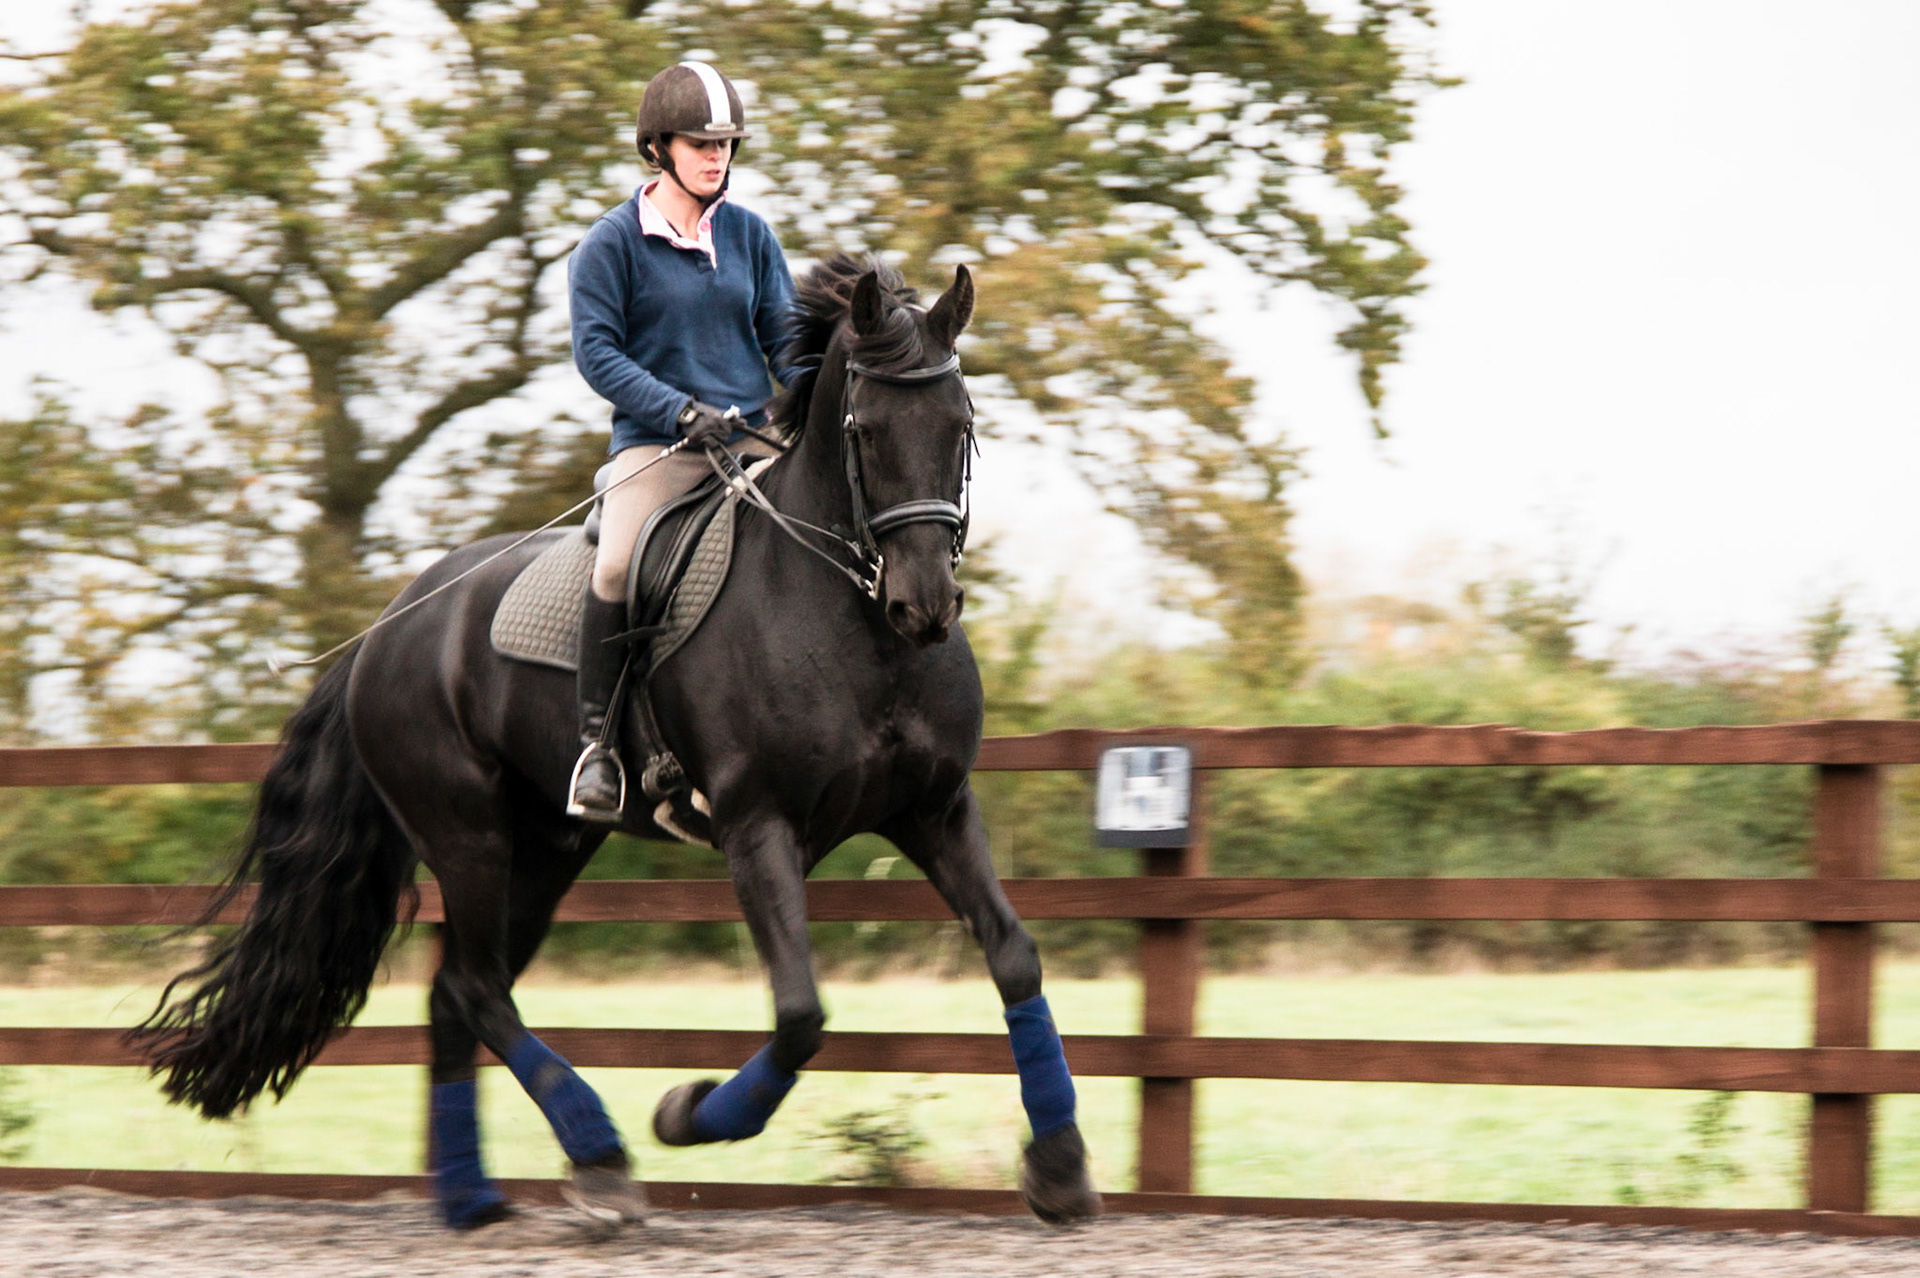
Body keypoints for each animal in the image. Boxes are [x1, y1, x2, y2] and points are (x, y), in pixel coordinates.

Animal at [129, 255, 1103, 1230]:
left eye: (960, 426)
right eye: (864, 430)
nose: (925, 606)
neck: (858, 627)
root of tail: (387, 628)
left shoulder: (935, 809)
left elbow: (1015, 958)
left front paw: (1060, 1166)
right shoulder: (757, 828)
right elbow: (799, 1016)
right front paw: (686, 1113)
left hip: (545, 850)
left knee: (458, 995)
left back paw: (474, 1198)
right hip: (468, 836)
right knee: (477, 990)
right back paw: (598, 1159)